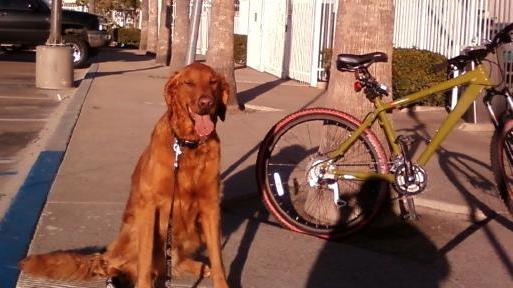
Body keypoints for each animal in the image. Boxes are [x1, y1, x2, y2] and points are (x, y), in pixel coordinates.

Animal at [19, 63, 229, 288]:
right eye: (189, 83)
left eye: (213, 82)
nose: (206, 103)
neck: (187, 146)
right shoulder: (149, 206)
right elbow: (145, 260)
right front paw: (144, 283)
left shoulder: (210, 207)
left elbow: (218, 259)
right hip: (134, 229)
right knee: (114, 264)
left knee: (173, 262)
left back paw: (199, 267)